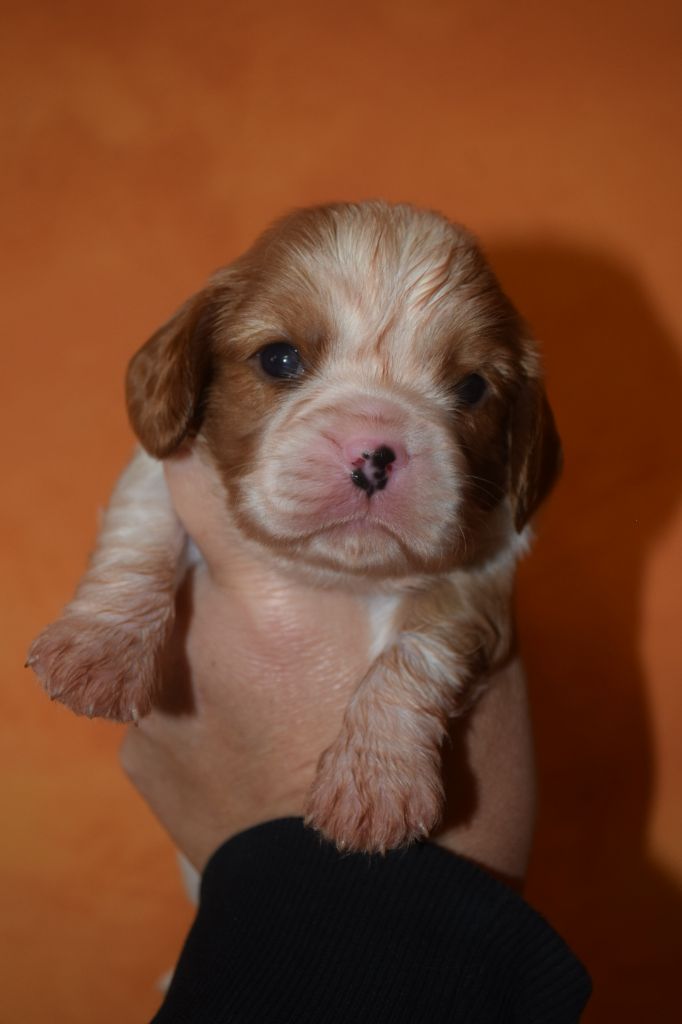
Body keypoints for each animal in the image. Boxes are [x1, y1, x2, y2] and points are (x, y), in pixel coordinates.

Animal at [26, 197, 557, 847]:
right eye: (279, 358)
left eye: (473, 388)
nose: (374, 454)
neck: (328, 574)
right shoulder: (165, 470)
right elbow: (140, 531)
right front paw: (101, 650)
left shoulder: (483, 572)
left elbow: (419, 651)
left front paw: (376, 780)